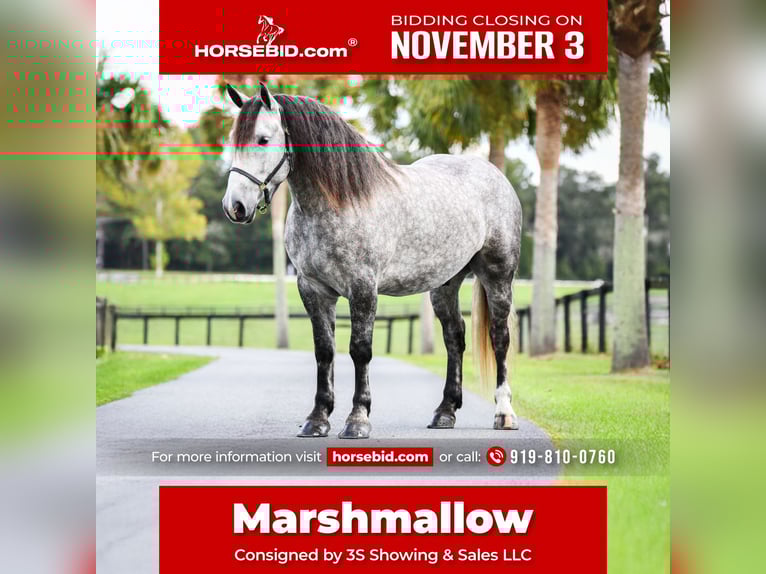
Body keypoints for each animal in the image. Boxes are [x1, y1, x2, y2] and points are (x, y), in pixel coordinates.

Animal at [222, 83, 522, 439]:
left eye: (263, 139)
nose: (235, 206)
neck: (340, 201)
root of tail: (494, 175)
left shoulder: (363, 288)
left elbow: (360, 350)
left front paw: (357, 420)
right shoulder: (312, 289)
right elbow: (324, 351)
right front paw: (317, 419)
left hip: (497, 276)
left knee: (499, 338)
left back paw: (504, 413)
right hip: (445, 284)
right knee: (455, 337)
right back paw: (445, 412)